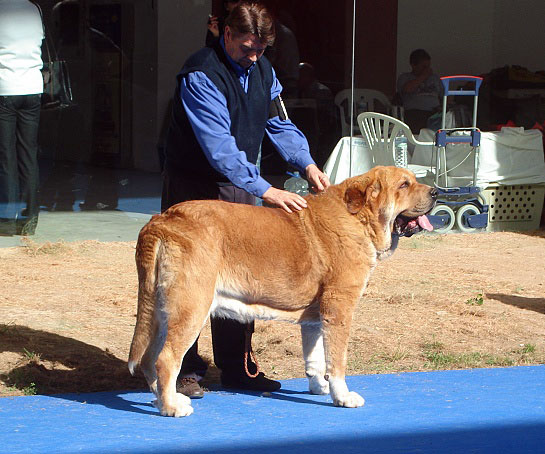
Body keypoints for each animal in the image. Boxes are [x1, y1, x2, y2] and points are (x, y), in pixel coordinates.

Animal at [130, 166, 436, 414]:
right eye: (404, 185)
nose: (437, 192)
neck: (359, 219)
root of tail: (161, 220)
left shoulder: (316, 318)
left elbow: (315, 359)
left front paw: (320, 387)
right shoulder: (339, 308)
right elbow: (337, 361)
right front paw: (343, 397)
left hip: (161, 313)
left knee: (148, 359)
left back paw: (161, 399)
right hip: (191, 308)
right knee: (166, 359)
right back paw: (172, 407)